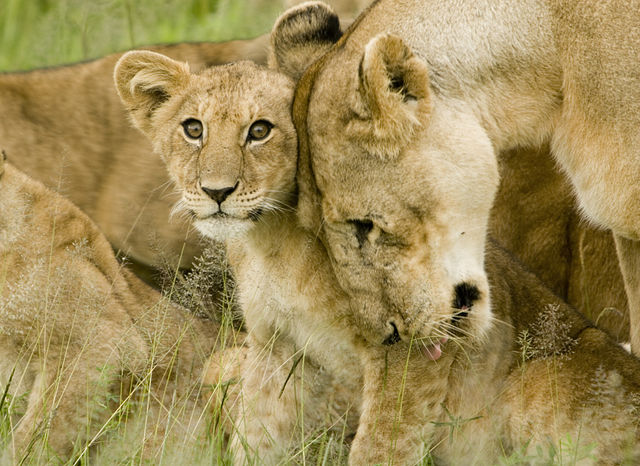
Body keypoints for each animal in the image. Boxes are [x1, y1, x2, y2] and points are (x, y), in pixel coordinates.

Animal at [114, 35, 640, 464]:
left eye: (260, 131)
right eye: (193, 129)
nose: (216, 191)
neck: (272, 245)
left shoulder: (411, 344)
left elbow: (379, 446)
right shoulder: (274, 344)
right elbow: (258, 435)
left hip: (545, 377)